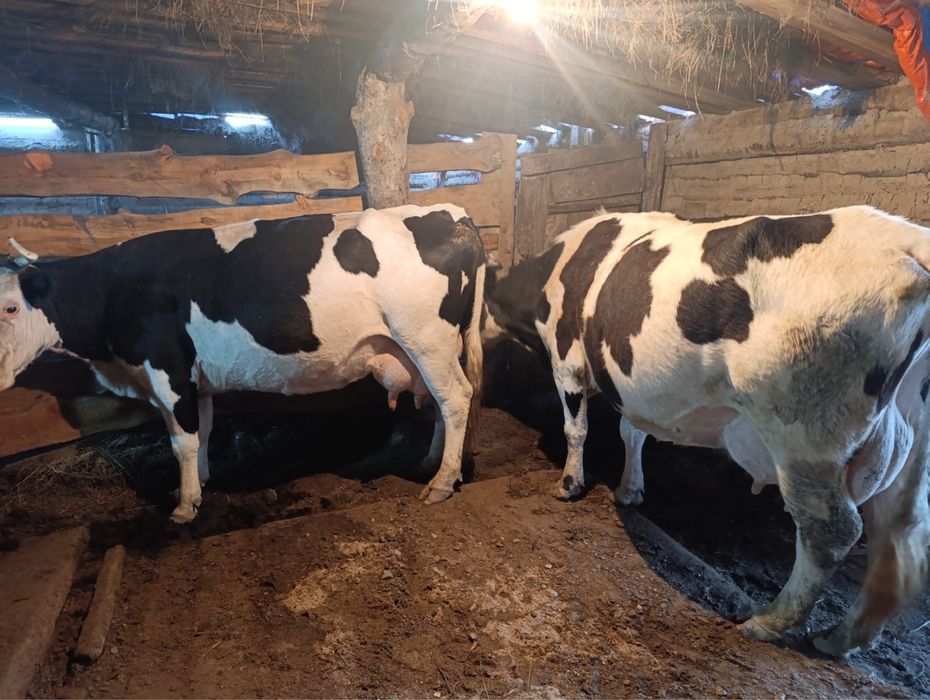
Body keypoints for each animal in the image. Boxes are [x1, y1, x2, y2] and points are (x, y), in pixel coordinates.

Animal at [0, 203, 485, 523]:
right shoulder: (196, 379)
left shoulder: (168, 371)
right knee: (441, 402)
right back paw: (432, 463)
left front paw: (184, 506)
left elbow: (181, 440)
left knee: (455, 397)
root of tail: (452, 212)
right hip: (428, 348)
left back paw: (442, 482)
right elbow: (203, 432)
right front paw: (201, 483)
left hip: (427, 339)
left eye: (10, 307)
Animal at [484, 205, 930, 657]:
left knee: (831, 531)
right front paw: (630, 490)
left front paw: (569, 484)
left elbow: (576, 428)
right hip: (910, 448)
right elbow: (633, 432)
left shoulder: (568, 360)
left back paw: (769, 622)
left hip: (804, 435)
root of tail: (908, 241)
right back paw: (843, 638)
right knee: (902, 540)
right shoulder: (636, 390)